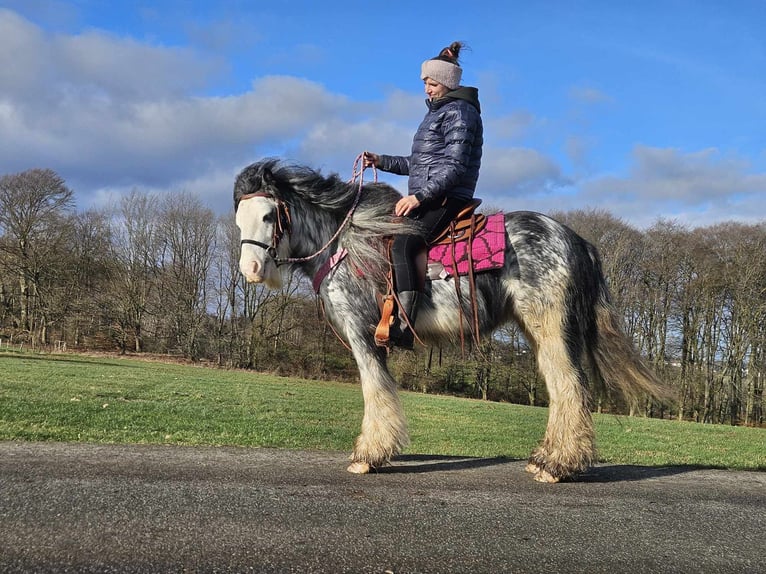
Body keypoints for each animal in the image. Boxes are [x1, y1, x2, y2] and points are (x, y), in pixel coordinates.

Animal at [232, 156, 664, 482]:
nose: (250, 270)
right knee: (561, 389)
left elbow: (375, 391)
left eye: (269, 216)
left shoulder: (361, 334)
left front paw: (368, 456)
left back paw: (558, 466)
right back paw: (546, 458)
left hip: (552, 327)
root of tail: (576, 241)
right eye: (239, 219)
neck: (346, 244)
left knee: (570, 388)